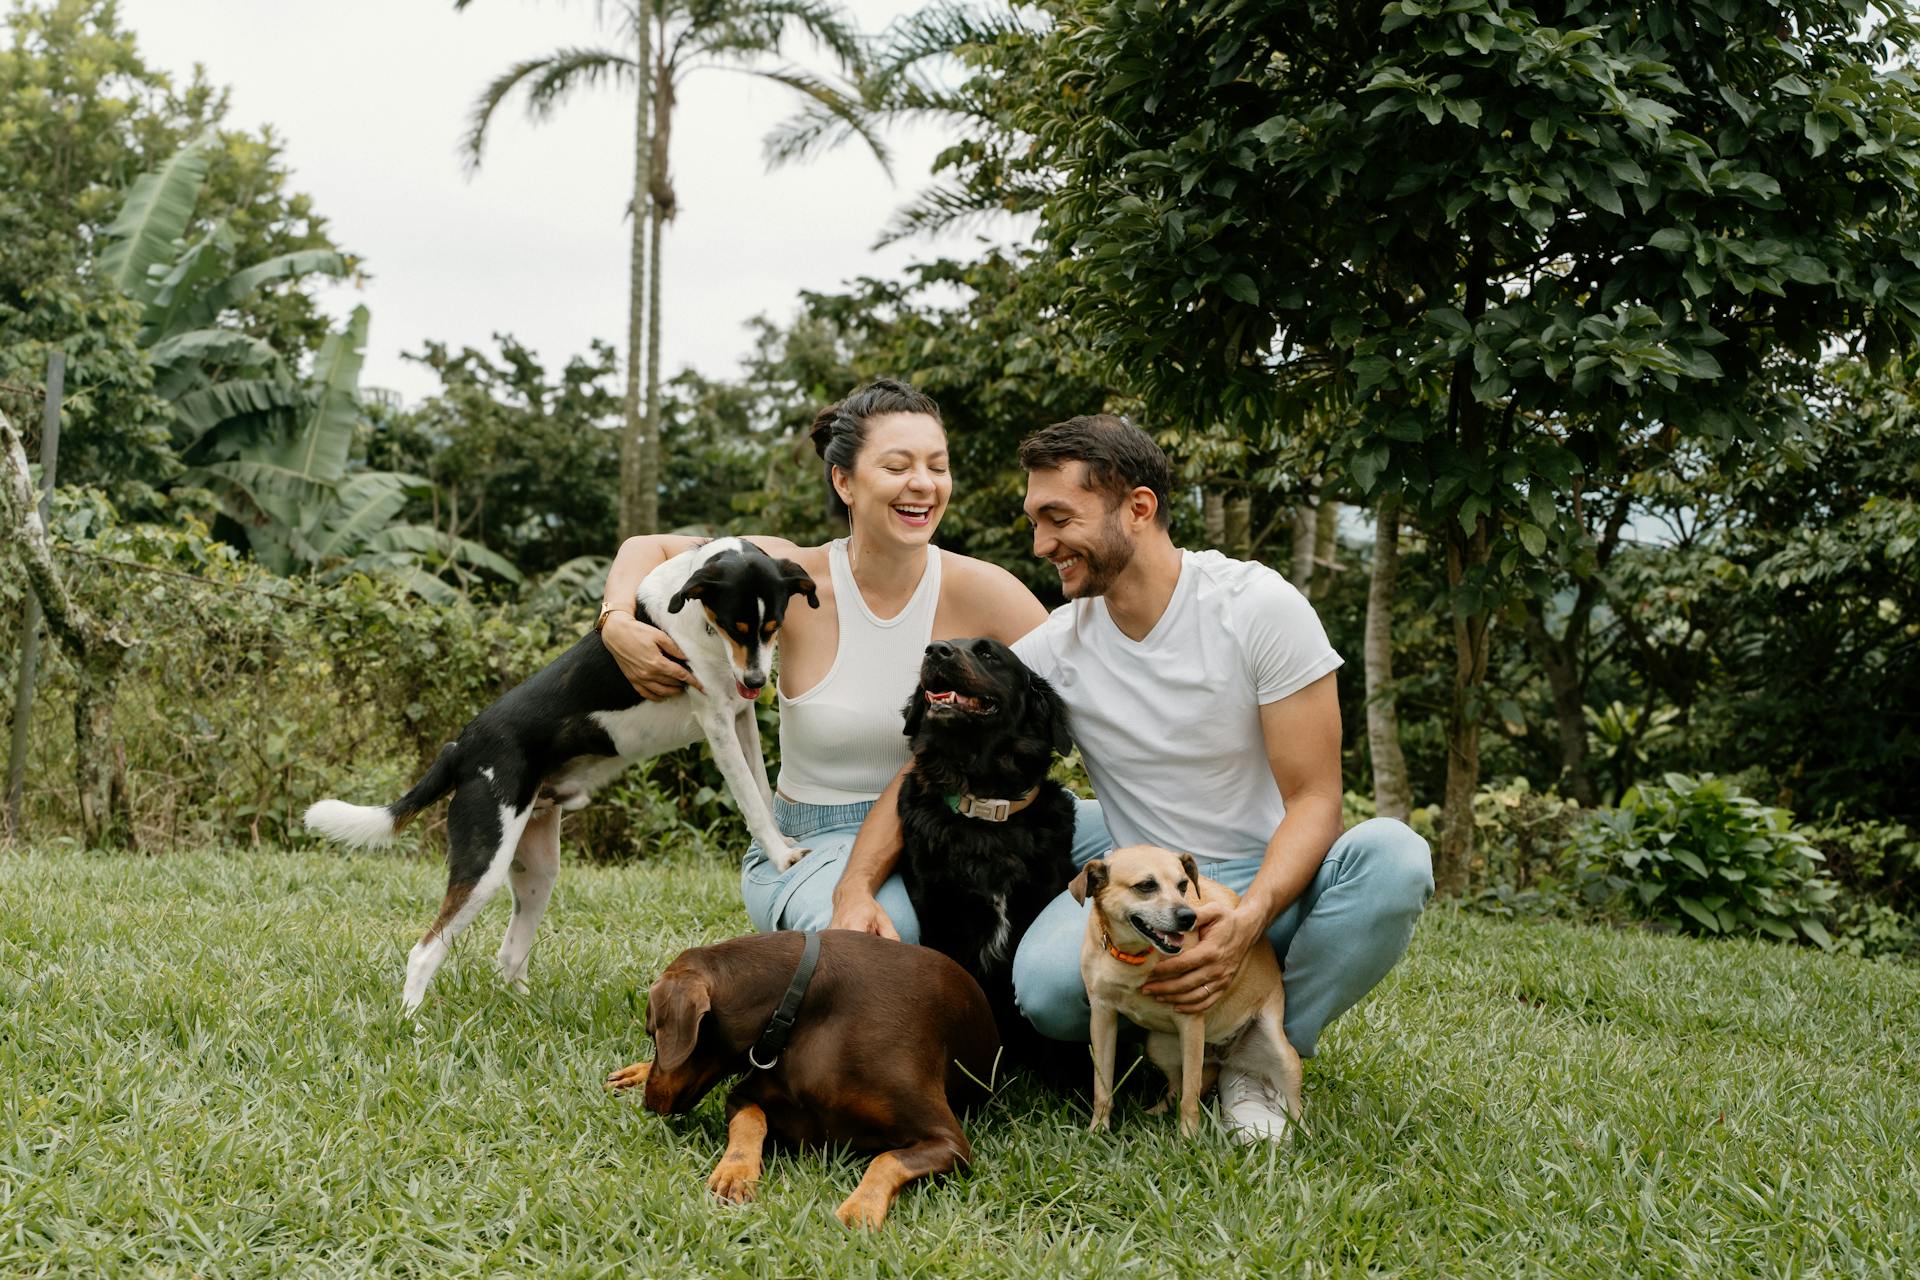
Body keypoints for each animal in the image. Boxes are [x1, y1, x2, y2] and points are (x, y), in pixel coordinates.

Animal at [305, 537, 817, 1013]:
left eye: (774, 628)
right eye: (736, 626)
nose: (755, 682)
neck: (697, 620)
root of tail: (462, 748)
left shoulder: (740, 717)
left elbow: (762, 789)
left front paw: (779, 845)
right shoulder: (717, 722)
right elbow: (751, 799)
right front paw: (781, 858)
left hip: (537, 871)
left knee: (509, 954)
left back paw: (526, 1010)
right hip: (485, 865)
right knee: (425, 951)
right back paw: (411, 1020)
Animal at [610, 932, 1006, 1228]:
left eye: (653, 1033)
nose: (649, 1102)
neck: (799, 1005)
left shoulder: (949, 1141)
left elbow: (887, 1159)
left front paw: (860, 1208)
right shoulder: (745, 1093)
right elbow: (750, 1120)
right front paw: (735, 1172)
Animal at [1067, 852, 1305, 1143]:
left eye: (1183, 885)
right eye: (1146, 886)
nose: (1188, 916)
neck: (1134, 957)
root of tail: (1221, 1054)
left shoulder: (1190, 1023)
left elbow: (1190, 1096)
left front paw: (1189, 1139)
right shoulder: (1102, 1017)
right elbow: (1102, 1087)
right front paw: (1098, 1130)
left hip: (1283, 1057)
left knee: (1295, 1108)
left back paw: (1304, 1135)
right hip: (1159, 1047)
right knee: (1177, 1087)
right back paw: (1155, 1112)